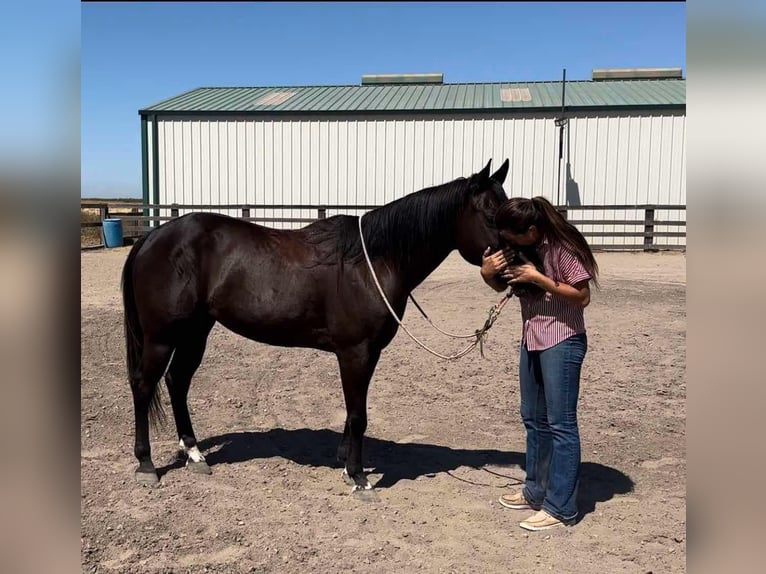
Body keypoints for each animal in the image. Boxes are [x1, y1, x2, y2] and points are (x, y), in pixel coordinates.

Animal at [122, 158, 511, 491]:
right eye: (492, 213)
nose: (510, 272)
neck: (371, 262)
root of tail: (153, 238)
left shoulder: (366, 355)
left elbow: (354, 411)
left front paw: (345, 463)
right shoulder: (355, 353)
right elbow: (358, 414)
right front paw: (359, 477)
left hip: (195, 332)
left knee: (177, 382)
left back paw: (194, 453)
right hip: (161, 337)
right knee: (144, 385)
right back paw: (146, 465)